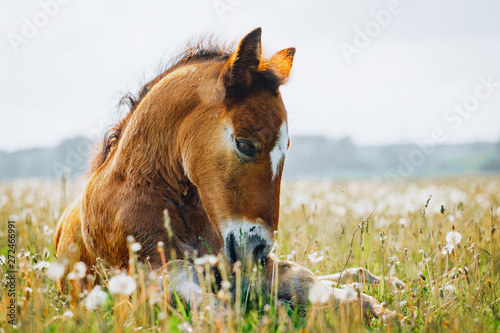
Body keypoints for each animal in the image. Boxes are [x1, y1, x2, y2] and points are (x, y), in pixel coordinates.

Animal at [54, 27, 398, 320]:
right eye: (245, 144)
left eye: (286, 148)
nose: (258, 250)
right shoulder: (152, 271)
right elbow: (214, 307)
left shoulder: (234, 260)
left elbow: (299, 276)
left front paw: (376, 309)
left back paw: (370, 278)